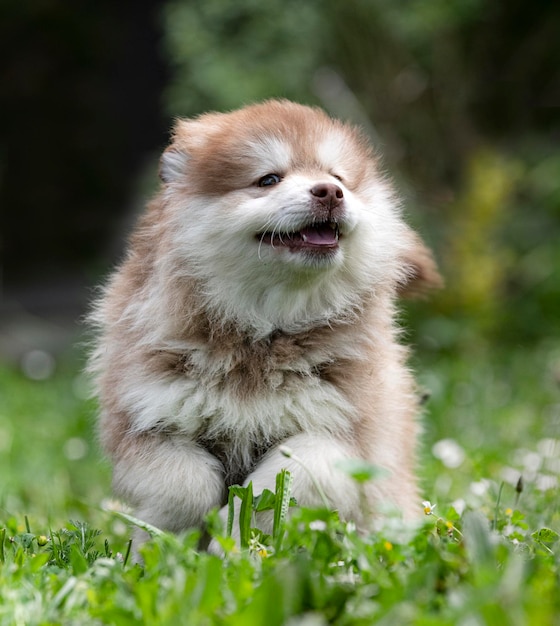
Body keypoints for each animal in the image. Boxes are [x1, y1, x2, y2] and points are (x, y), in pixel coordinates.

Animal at [87, 100, 440, 540]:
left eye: (337, 177)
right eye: (268, 179)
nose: (330, 192)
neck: (264, 328)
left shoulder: (341, 434)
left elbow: (277, 485)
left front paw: (240, 536)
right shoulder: (146, 418)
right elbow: (185, 485)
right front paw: (169, 537)